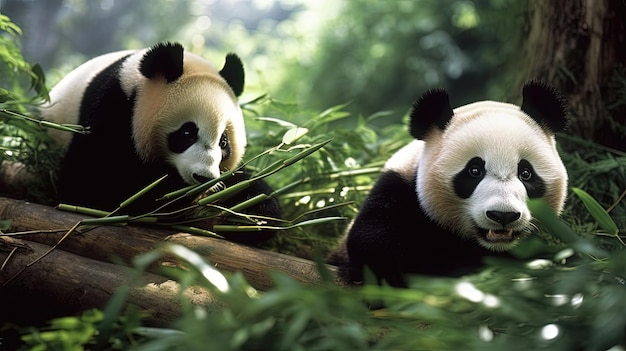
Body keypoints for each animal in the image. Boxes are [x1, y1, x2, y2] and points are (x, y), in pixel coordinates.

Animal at [40, 42, 280, 246]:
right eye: (187, 133)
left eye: (223, 141)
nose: (204, 178)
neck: (135, 88)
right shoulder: (108, 109)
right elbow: (90, 183)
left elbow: (246, 185)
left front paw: (251, 216)